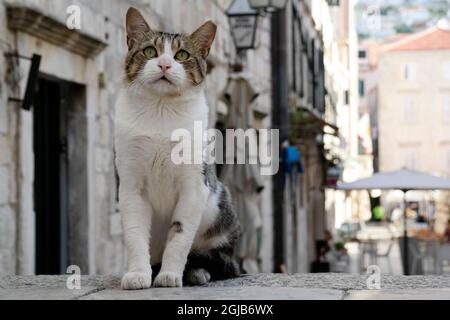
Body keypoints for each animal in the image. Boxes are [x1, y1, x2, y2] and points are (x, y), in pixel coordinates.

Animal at [114, 6, 241, 290]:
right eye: (150, 51)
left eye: (182, 55)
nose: (164, 64)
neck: (161, 109)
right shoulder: (130, 186)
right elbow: (135, 234)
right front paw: (137, 274)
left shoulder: (194, 185)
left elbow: (179, 234)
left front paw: (170, 274)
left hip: (222, 209)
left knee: (220, 262)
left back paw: (197, 272)